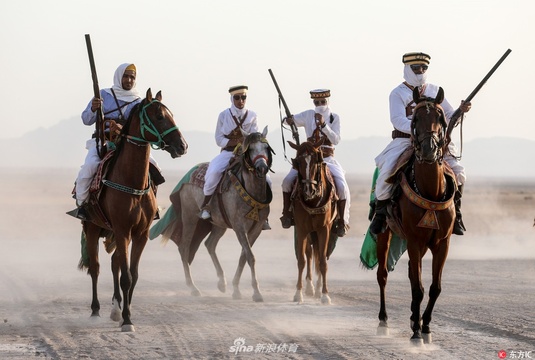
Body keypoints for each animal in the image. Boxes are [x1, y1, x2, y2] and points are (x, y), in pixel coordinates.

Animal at [79, 89, 188, 332]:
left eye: (172, 114)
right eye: (159, 116)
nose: (182, 146)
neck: (132, 182)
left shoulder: (140, 233)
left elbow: (133, 275)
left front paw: (125, 315)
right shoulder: (121, 230)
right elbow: (126, 276)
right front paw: (127, 320)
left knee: (114, 264)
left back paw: (115, 308)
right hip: (92, 228)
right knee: (96, 267)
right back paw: (95, 310)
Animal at [151, 126, 276, 300]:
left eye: (266, 147)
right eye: (250, 149)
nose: (262, 167)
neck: (251, 190)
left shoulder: (256, 229)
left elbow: (244, 256)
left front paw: (237, 289)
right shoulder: (239, 227)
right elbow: (250, 256)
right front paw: (256, 293)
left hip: (219, 223)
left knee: (209, 244)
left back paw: (221, 283)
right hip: (189, 217)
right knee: (184, 248)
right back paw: (193, 288)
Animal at [288, 139, 336, 306]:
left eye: (316, 161)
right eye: (298, 162)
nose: (309, 190)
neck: (314, 201)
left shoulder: (324, 229)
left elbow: (322, 261)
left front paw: (325, 295)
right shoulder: (302, 229)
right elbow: (302, 260)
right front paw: (298, 293)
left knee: (322, 254)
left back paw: (319, 287)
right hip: (309, 232)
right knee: (309, 254)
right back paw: (310, 287)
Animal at [376, 86, 456, 344]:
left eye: (440, 117)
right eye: (416, 119)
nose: (430, 149)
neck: (430, 189)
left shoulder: (442, 243)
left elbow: (434, 288)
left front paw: (426, 326)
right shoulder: (414, 240)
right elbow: (418, 288)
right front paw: (417, 333)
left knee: (413, 275)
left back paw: (414, 319)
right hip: (385, 235)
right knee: (382, 275)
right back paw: (383, 321)